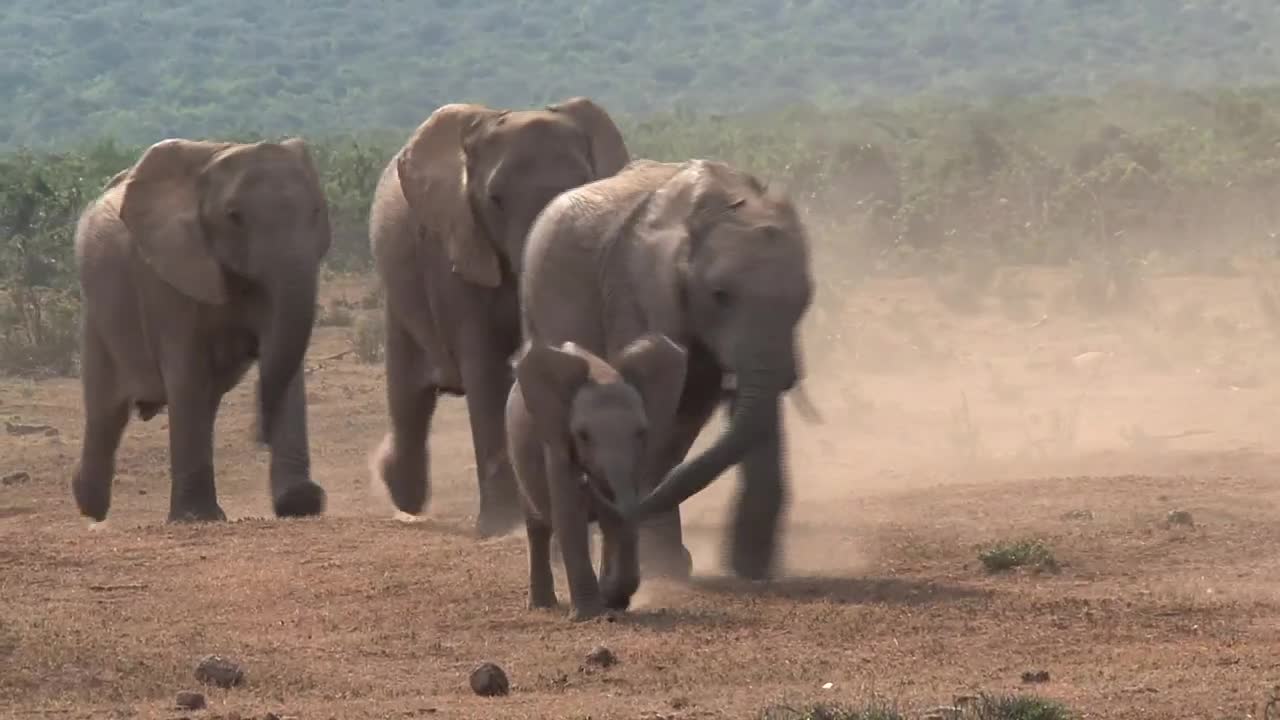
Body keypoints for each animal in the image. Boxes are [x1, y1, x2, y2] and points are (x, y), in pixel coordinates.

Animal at [72, 137, 332, 520]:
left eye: (316, 212)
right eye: (234, 217)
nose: (259, 435)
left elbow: (284, 355)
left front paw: (300, 503)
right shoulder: (165, 279)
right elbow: (186, 368)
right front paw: (197, 518)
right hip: (100, 316)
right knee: (107, 411)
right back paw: (91, 508)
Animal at [368, 95, 632, 535]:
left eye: (581, 183)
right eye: (495, 199)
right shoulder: (456, 246)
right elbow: (487, 371)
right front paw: (503, 529)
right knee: (409, 396)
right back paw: (400, 492)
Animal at [501, 330, 691, 617]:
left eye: (641, 433)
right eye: (583, 436)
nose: (587, 481)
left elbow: (616, 520)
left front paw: (612, 601)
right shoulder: (557, 444)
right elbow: (570, 518)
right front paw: (591, 615)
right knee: (538, 527)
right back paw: (542, 606)